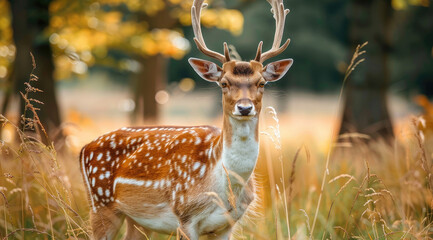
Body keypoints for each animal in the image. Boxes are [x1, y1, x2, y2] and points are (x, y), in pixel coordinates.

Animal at [79, 0, 292, 238]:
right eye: (224, 83)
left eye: (262, 83)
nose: (244, 108)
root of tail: (83, 148)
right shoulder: (184, 215)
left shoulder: (228, 224)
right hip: (100, 203)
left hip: (137, 220)